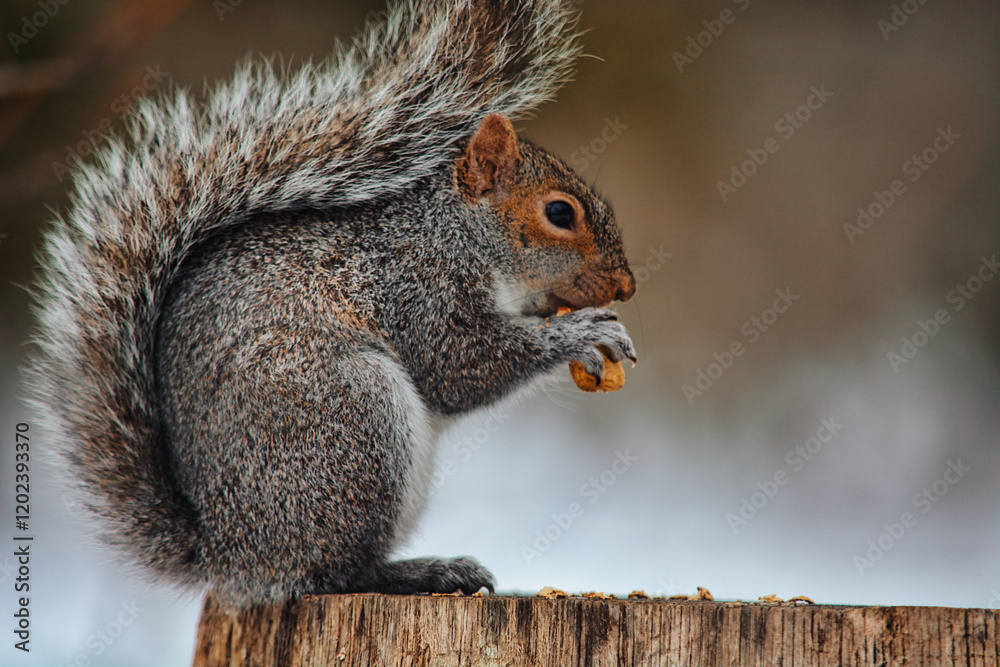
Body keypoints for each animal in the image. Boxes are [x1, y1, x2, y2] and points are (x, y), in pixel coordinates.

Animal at [26, 0, 636, 606]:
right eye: (559, 213)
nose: (626, 286)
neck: (454, 233)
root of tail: (231, 555)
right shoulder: (419, 288)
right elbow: (459, 366)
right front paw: (583, 334)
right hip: (352, 424)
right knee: (333, 574)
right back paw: (426, 572)